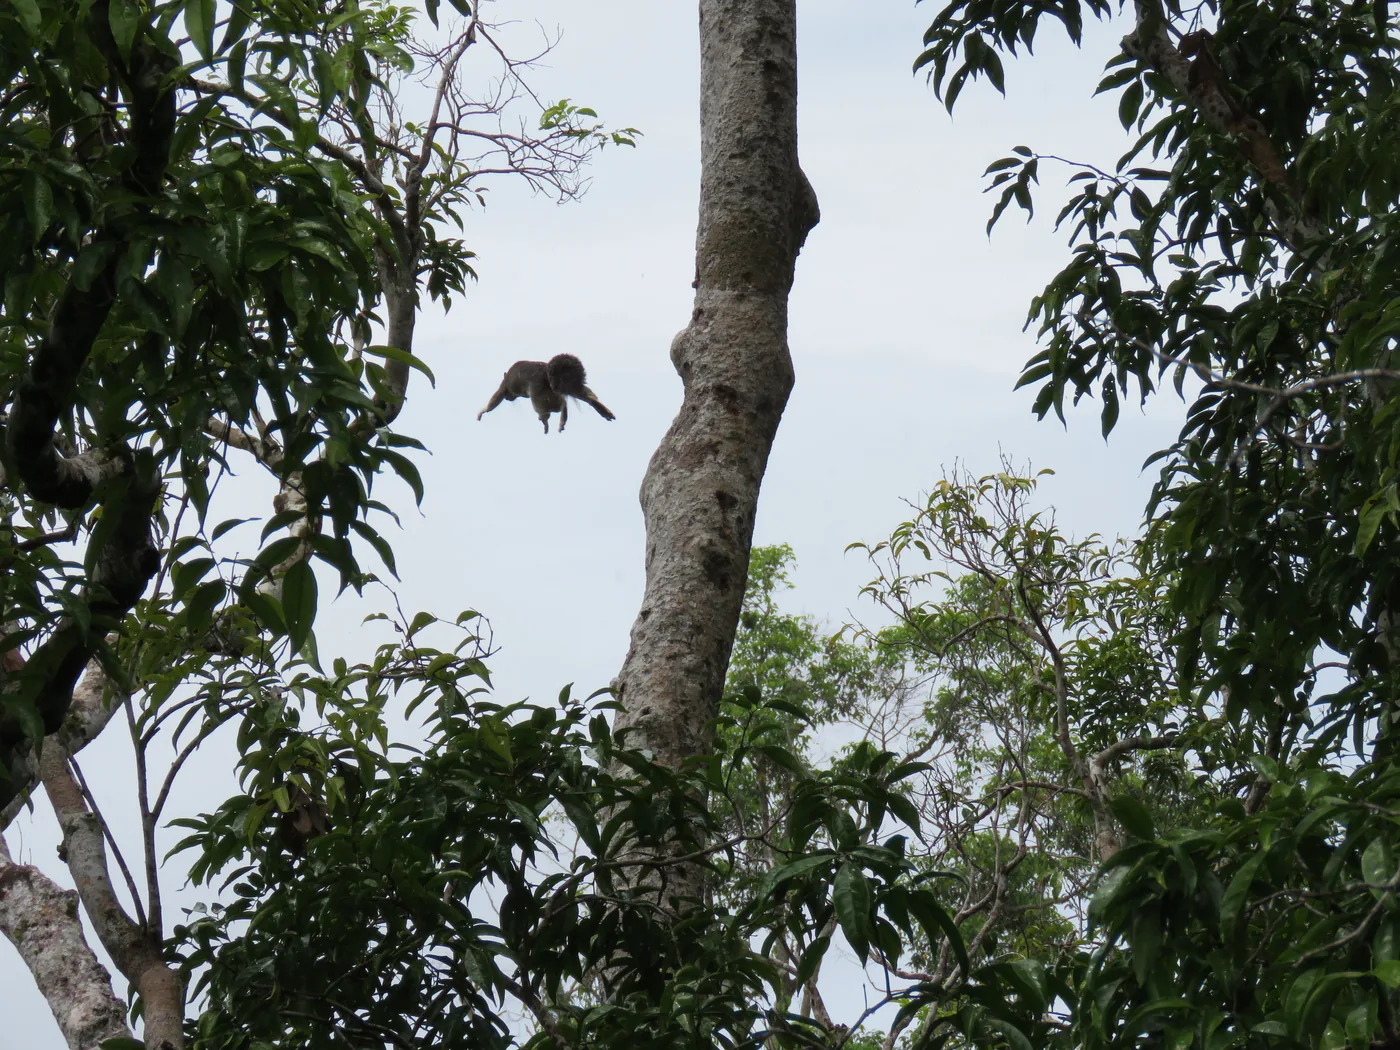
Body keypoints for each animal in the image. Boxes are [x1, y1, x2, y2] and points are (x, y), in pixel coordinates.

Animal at [477, 353, 616, 434]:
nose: (508, 398)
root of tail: (547, 372)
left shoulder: (505, 385)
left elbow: (496, 397)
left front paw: (483, 410)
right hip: (568, 384)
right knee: (586, 395)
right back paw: (600, 407)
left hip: (540, 390)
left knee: (552, 404)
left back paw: (552, 418)